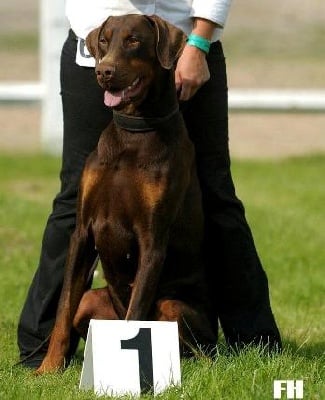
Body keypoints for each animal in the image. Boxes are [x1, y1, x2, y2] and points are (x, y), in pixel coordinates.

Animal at [36, 13, 215, 376]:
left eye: (133, 40)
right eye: (104, 40)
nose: (104, 71)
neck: (134, 132)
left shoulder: (152, 240)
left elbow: (136, 318)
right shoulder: (83, 231)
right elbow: (63, 310)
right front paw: (47, 369)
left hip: (174, 305)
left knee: (194, 350)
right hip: (93, 301)